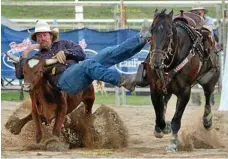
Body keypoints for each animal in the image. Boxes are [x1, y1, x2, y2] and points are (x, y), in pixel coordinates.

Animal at [143, 9, 220, 152]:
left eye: (168, 34)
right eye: (151, 31)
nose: (155, 62)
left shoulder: (185, 92)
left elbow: (176, 120)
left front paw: (173, 143)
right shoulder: (154, 88)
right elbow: (159, 116)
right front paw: (162, 128)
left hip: (211, 78)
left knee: (208, 96)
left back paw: (207, 121)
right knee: (165, 100)